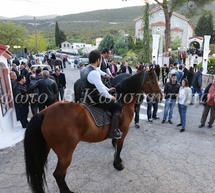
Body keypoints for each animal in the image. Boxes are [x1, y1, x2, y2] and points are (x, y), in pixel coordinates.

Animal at [24, 68, 162, 193]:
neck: (122, 100)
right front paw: (117, 164)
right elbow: (119, 147)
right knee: (58, 174)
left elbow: (116, 145)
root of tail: (44, 113)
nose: (160, 97)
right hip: (65, 153)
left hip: (45, 149)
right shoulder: (124, 131)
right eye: (153, 81)